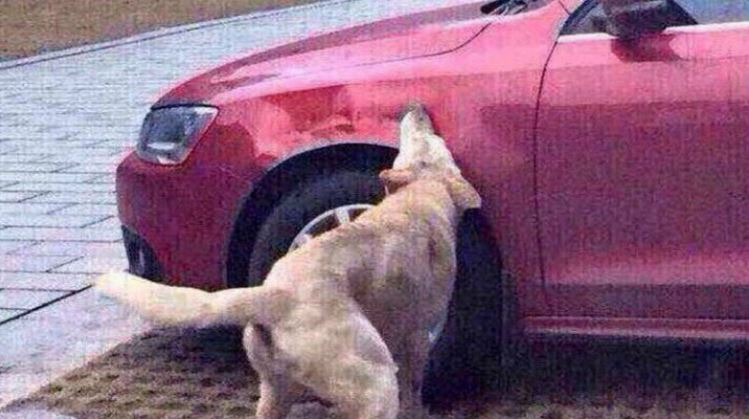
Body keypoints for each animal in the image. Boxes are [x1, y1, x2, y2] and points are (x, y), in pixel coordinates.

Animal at [96, 103, 481, 418]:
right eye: (431, 138)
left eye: (419, 138)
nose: (417, 108)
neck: (419, 196)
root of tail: (274, 295)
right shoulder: (417, 336)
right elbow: (415, 389)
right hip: (375, 382)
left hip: (274, 392)